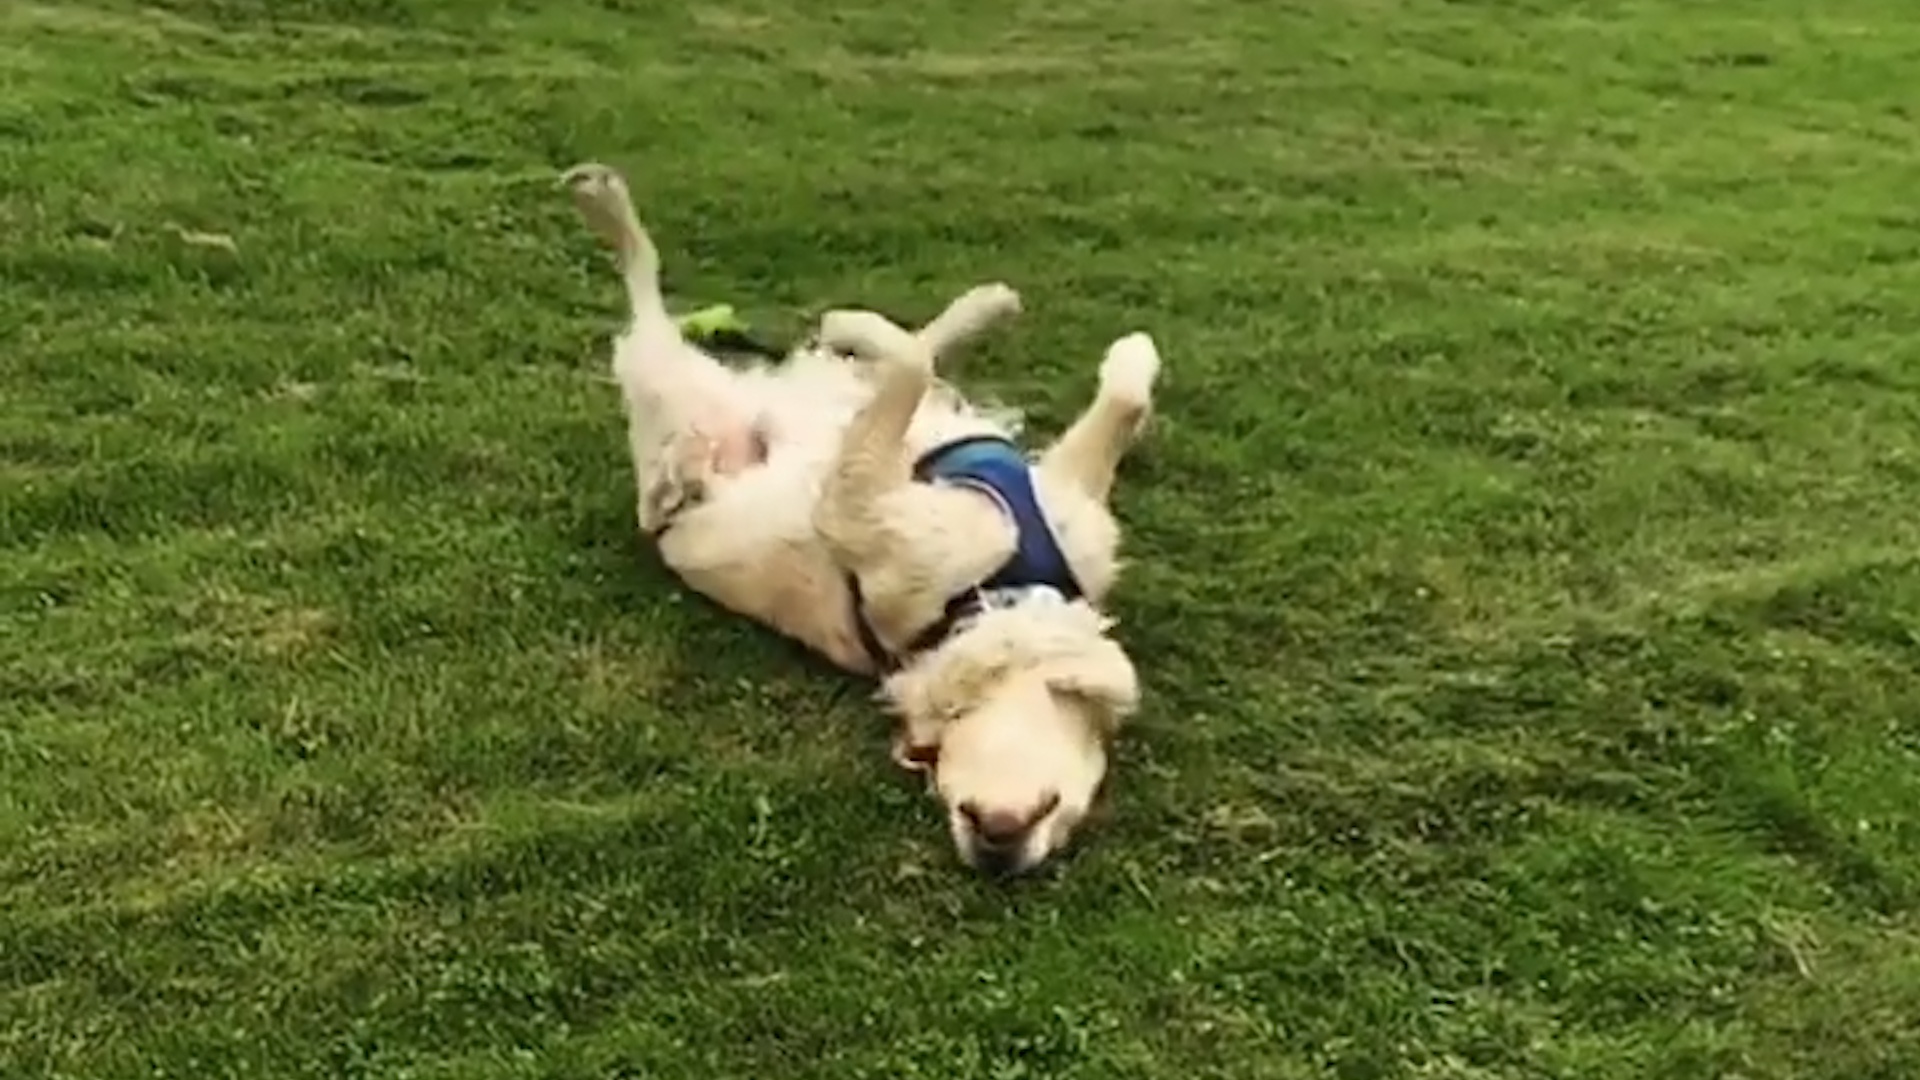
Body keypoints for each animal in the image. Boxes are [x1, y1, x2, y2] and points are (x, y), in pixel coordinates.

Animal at [556, 164, 1152, 880]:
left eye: (1067, 823)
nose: (997, 852)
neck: (999, 591)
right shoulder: (1060, 498)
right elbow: (1124, 396)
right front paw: (1133, 349)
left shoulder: (858, 507)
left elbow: (919, 370)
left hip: (670, 399)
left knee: (649, 307)